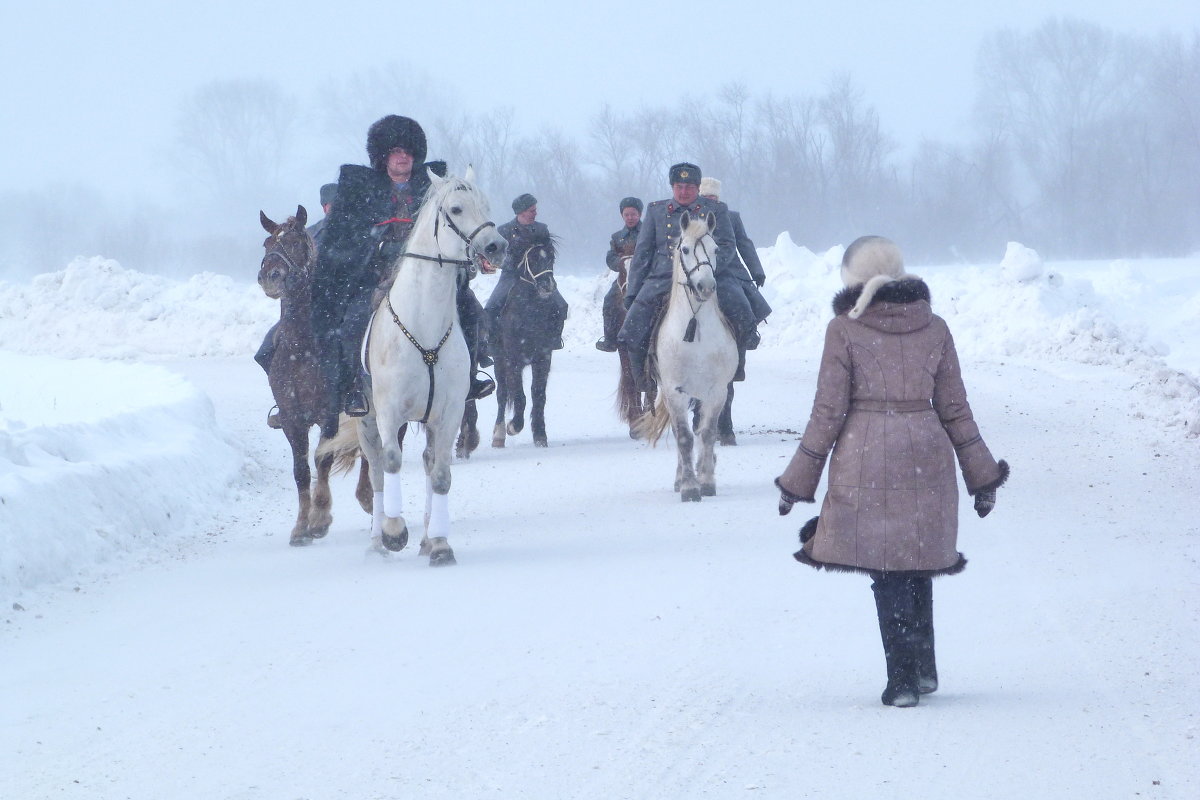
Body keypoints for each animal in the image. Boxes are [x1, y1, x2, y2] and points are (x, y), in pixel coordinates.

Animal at [253, 206, 364, 544]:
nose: (270, 276)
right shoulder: (292, 418)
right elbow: (301, 469)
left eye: (296, 242)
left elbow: (322, 459)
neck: (302, 348)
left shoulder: (329, 413)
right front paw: (301, 526)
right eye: (267, 244)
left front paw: (320, 518)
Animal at [328, 167, 506, 566]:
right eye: (456, 209)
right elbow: (391, 463)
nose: (496, 246)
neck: (424, 326)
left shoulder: (449, 413)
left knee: (425, 463)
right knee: (378, 471)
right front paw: (395, 532)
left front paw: (439, 544)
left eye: (487, 205)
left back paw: (426, 536)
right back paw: (378, 540)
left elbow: (440, 475)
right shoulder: (389, 412)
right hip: (366, 420)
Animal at [633, 212, 734, 501]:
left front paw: (707, 481)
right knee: (682, 433)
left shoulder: (717, 391)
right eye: (685, 249)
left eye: (716, 249)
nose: (706, 286)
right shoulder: (675, 390)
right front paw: (689, 487)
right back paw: (680, 478)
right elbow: (684, 437)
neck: (695, 326)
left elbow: (707, 434)